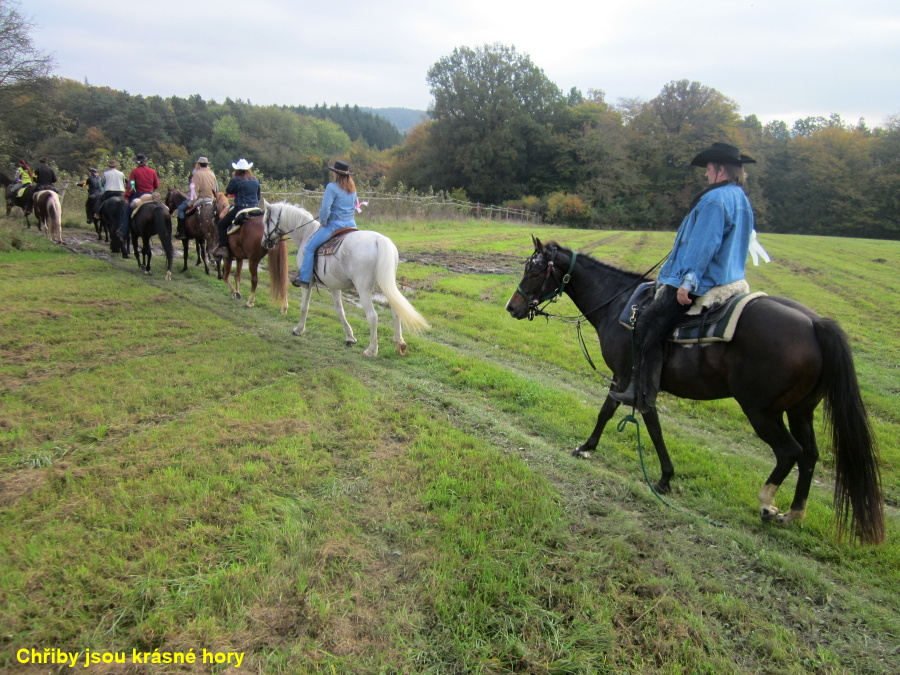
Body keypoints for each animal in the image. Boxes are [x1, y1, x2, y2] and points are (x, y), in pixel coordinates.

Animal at [264, 201, 428, 360]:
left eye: (265, 220)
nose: (265, 242)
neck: (306, 234)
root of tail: (379, 240)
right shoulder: (333, 285)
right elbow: (339, 310)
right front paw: (350, 337)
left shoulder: (308, 284)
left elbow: (304, 306)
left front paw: (298, 329)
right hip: (386, 284)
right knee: (396, 310)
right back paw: (399, 342)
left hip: (364, 290)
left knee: (372, 316)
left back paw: (371, 350)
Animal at [506, 240, 884, 548]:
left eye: (534, 270)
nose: (512, 307)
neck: (618, 305)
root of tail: (815, 323)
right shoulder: (633, 381)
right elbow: (631, 416)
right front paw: (646, 469)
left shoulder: (628, 376)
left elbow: (626, 415)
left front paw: (599, 452)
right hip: (800, 410)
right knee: (809, 456)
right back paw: (793, 513)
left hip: (762, 411)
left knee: (790, 451)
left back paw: (766, 504)